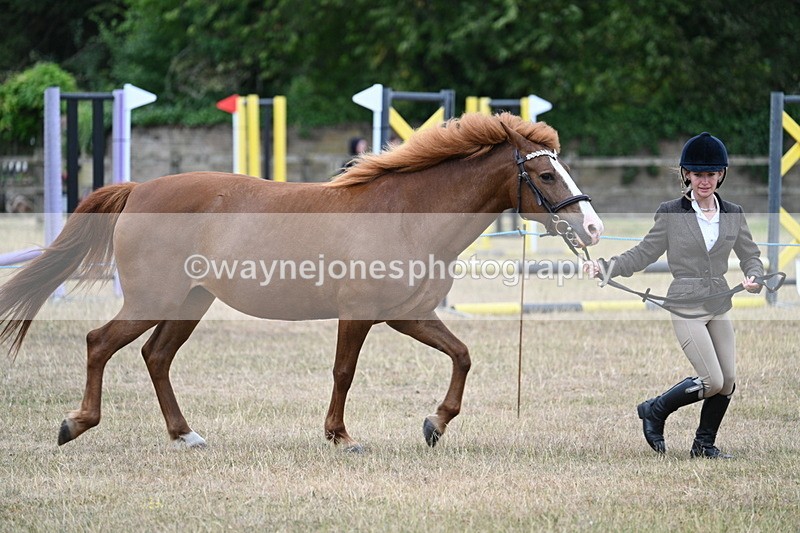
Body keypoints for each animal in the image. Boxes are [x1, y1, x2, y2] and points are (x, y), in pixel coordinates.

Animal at [0, 112, 603, 451]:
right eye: (545, 174)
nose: (593, 228)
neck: (408, 215)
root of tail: (139, 190)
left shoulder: (407, 315)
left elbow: (462, 355)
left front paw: (435, 424)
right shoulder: (360, 315)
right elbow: (343, 372)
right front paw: (340, 436)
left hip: (190, 303)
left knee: (156, 357)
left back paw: (184, 435)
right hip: (153, 300)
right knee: (99, 342)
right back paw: (77, 424)